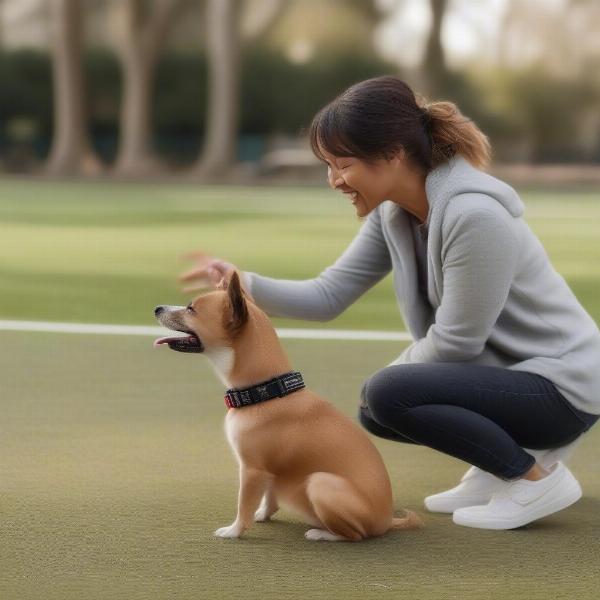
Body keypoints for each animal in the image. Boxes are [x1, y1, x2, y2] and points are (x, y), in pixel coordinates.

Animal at [155, 270, 422, 540]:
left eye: (191, 309)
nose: (157, 308)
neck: (267, 392)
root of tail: (386, 520)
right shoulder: (270, 473)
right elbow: (268, 498)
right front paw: (262, 515)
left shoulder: (252, 470)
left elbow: (244, 505)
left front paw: (234, 531)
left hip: (320, 483)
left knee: (356, 535)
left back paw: (321, 533)